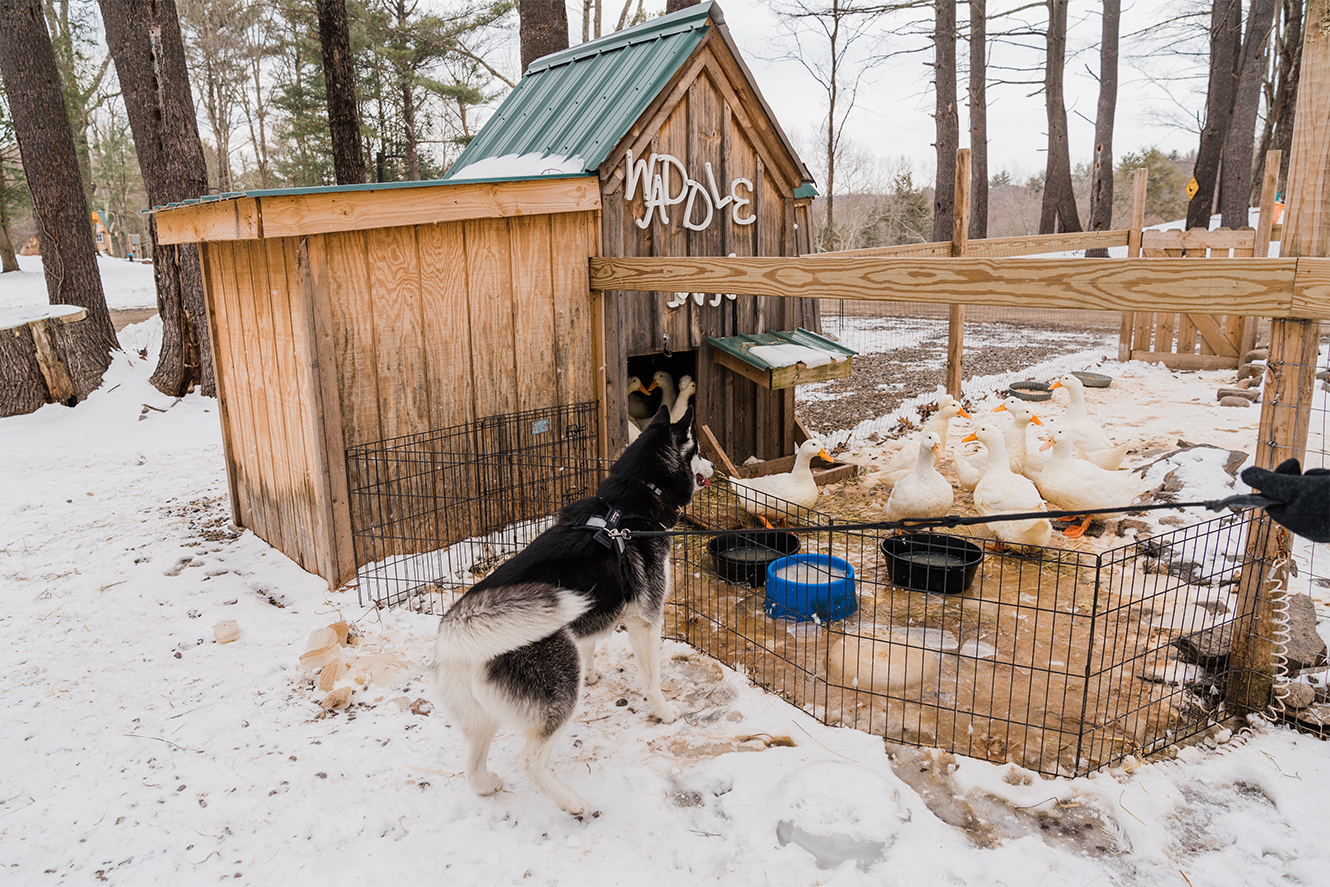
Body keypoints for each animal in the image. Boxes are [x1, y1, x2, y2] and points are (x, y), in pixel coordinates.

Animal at [430, 406, 712, 813]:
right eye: (701, 450)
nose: (714, 468)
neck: (631, 502)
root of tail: (459, 630)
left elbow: (590, 643)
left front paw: (593, 673)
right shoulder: (645, 618)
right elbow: (652, 679)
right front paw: (664, 712)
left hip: (481, 716)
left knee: (473, 761)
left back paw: (487, 784)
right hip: (560, 691)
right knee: (530, 761)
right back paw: (571, 802)